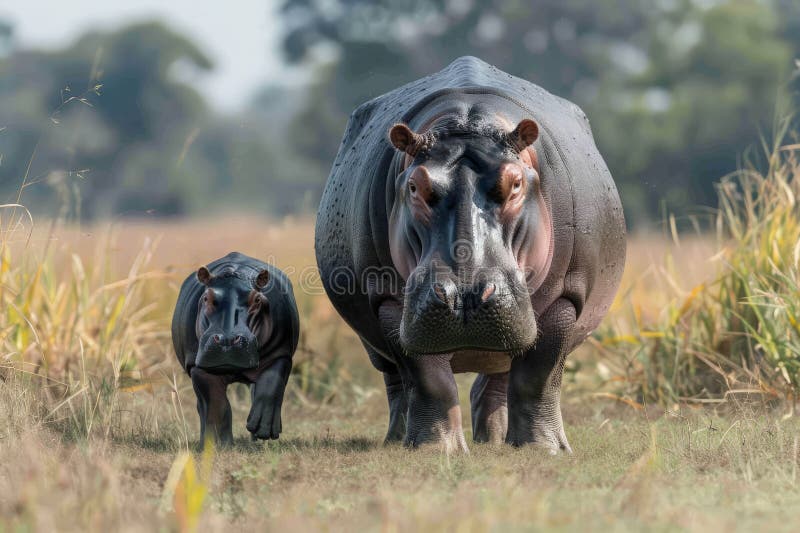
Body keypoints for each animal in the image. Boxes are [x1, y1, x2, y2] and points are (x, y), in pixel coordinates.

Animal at [172, 252, 299, 446]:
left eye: (257, 299)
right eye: (206, 297)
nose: (227, 340)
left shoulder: (280, 354)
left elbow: (270, 387)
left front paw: (263, 430)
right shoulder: (197, 365)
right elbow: (216, 402)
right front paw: (219, 444)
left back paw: (257, 441)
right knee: (202, 407)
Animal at [314, 56, 625, 453]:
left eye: (515, 183)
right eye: (414, 185)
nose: (464, 295)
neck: (467, 122)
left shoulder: (566, 297)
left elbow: (538, 375)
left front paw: (544, 448)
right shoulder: (389, 303)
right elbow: (426, 376)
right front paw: (436, 448)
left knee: (498, 377)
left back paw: (495, 441)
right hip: (378, 341)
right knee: (396, 383)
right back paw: (397, 440)